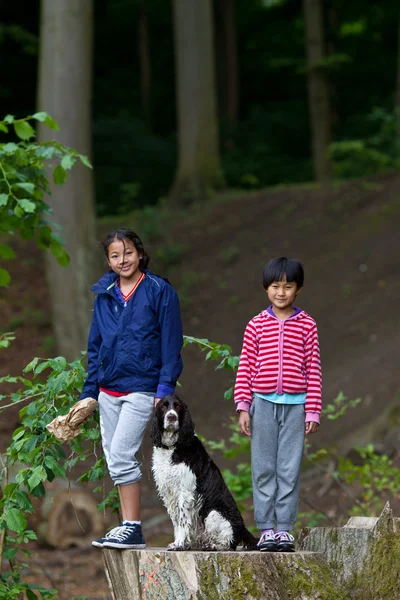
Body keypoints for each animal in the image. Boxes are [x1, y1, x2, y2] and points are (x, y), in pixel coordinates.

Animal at [150, 394, 256, 552]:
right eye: (163, 406)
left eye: (177, 406)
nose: (171, 417)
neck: (173, 447)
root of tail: (243, 529)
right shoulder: (169, 493)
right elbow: (176, 521)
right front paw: (177, 542)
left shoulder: (184, 491)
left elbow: (182, 520)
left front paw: (180, 544)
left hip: (213, 513)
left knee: (229, 543)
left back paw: (212, 545)